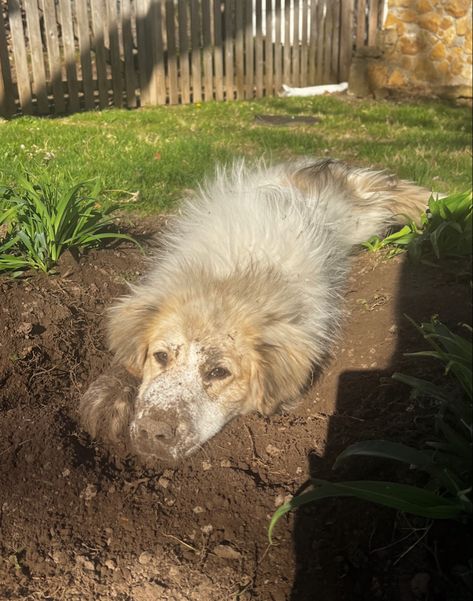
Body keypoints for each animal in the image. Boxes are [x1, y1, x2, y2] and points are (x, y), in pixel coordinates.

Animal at [80, 157, 432, 462]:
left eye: (219, 372)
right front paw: (110, 395)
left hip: (361, 216)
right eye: (161, 356)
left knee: (392, 191)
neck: (226, 280)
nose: (152, 432)